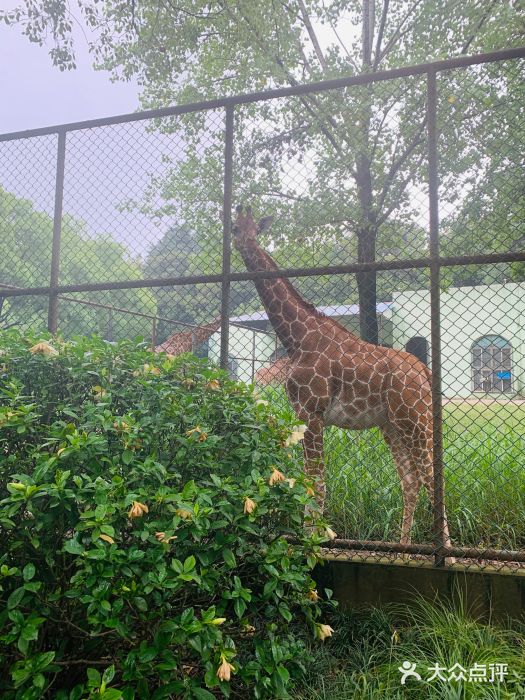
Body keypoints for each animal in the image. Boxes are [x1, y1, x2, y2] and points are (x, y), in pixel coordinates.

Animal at [231, 205, 452, 548]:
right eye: (235, 228)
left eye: (253, 229)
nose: (246, 244)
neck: (296, 338)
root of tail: (425, 373)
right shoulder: (304, 416)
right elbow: (309, 481)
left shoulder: (312, 412)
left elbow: (316, 483)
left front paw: (313, 544)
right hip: (392, 425)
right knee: (411, 480)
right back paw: (403, 549)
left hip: (416, 420)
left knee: (433, 482)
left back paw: (446, 553)